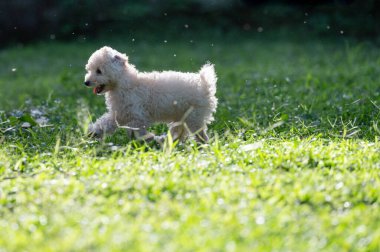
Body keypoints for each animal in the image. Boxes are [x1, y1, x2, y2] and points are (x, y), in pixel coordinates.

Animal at [84, 46, 218, 143]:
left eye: (99, 71)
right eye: (89, 70)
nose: (86, 82)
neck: (124, 83)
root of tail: (204, 85)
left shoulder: (138, 115)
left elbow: (136, 129)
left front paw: (144, 139)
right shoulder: (119, 114)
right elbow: (105, 123)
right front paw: (93, 132)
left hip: (194, 117)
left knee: (199, 134)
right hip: (182, 117)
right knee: (179, 131)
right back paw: (165, 141)